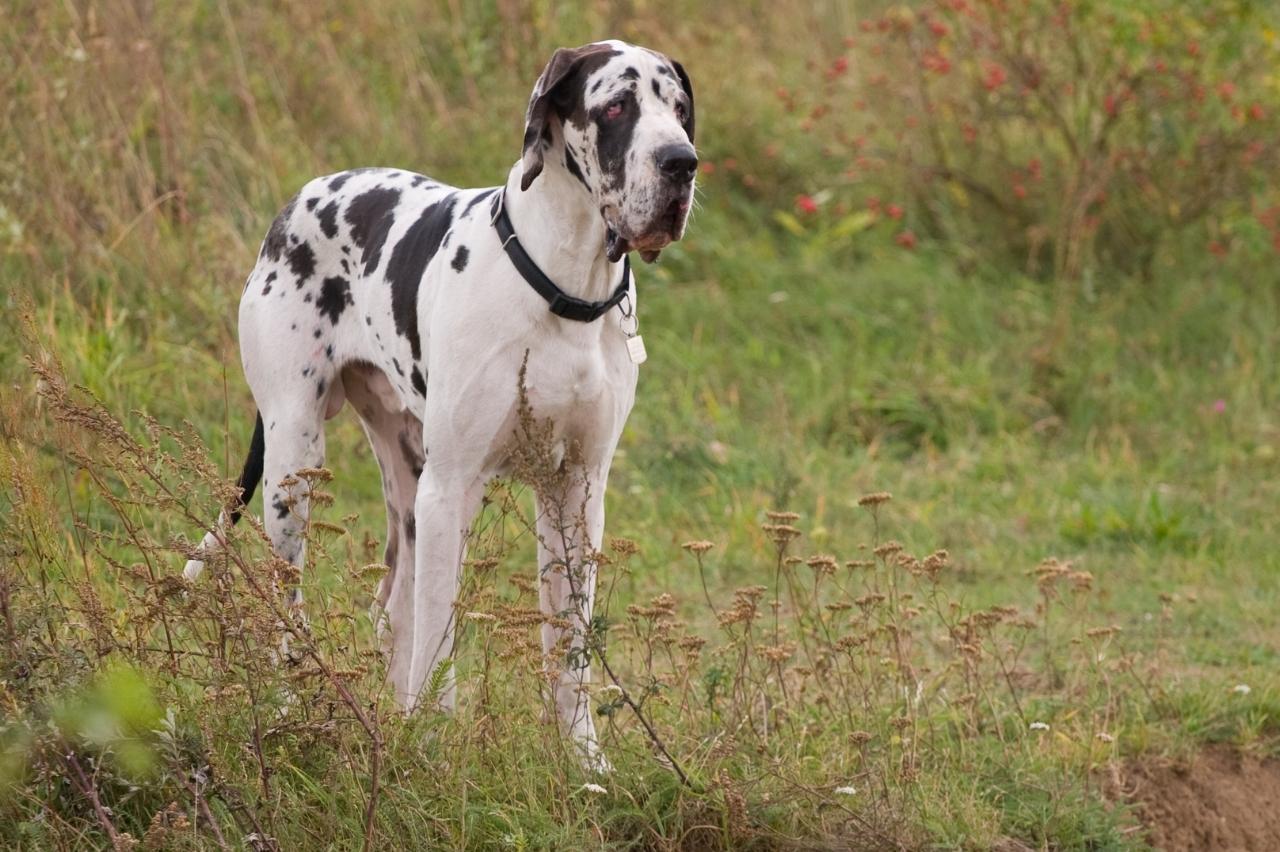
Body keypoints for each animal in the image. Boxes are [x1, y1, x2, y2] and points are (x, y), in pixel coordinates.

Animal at [185, 38, 696, 757]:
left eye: (678, 110)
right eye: (618, 105)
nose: (682, 162)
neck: (565, 288)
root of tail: (298, 200)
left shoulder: (577, 492)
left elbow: (569, 647)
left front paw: (584, 760)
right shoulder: (451, 488)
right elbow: (438, 639)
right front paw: (433, 746)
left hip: (408, 484)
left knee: (391, 613)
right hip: (295, 468)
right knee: (292, 606)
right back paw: (290, 710)